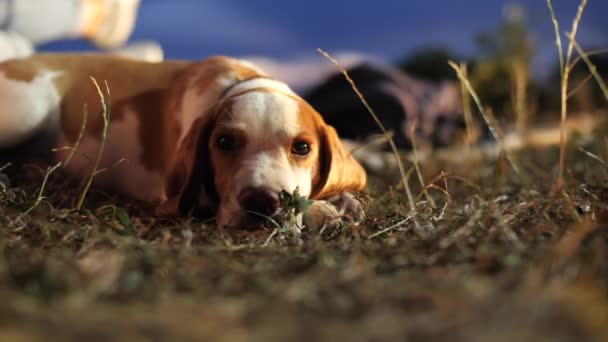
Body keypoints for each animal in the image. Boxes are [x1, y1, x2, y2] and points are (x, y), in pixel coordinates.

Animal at [0, 54, 366, 227]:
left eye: (302, 148)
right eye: (224, 143)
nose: (261, 202)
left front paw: (343, 200)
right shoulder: (177, 193)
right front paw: (321, 210)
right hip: (30, 108)